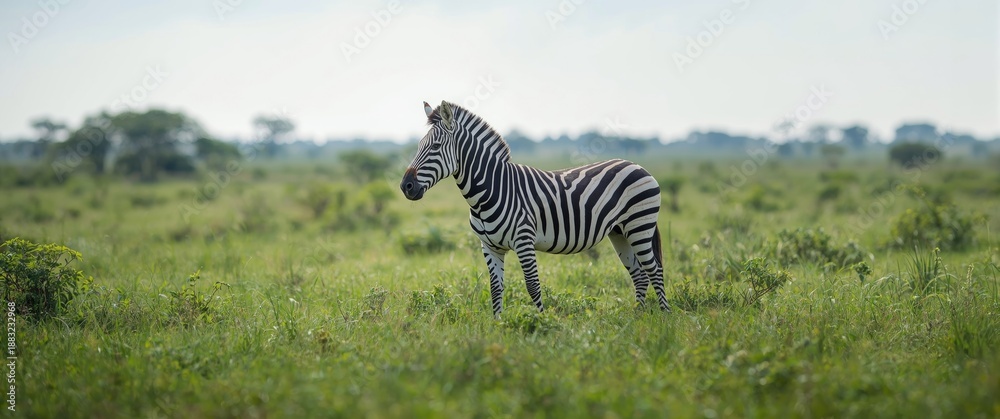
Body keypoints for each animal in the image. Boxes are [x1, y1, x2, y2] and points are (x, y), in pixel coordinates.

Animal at [400, 100, 670, 317]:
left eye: (435, 147)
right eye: (419, 146)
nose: (406, 186)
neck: (490, 191)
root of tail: (637, 165)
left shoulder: (523, 241)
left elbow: (532, 285)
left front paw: (542, 323)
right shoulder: (489, 246)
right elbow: (495, 288)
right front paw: (498, 325)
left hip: (639, 225)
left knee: (654, 270)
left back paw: (664, 317)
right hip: (619, 232)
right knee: (639, 274)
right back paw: (637, 316)